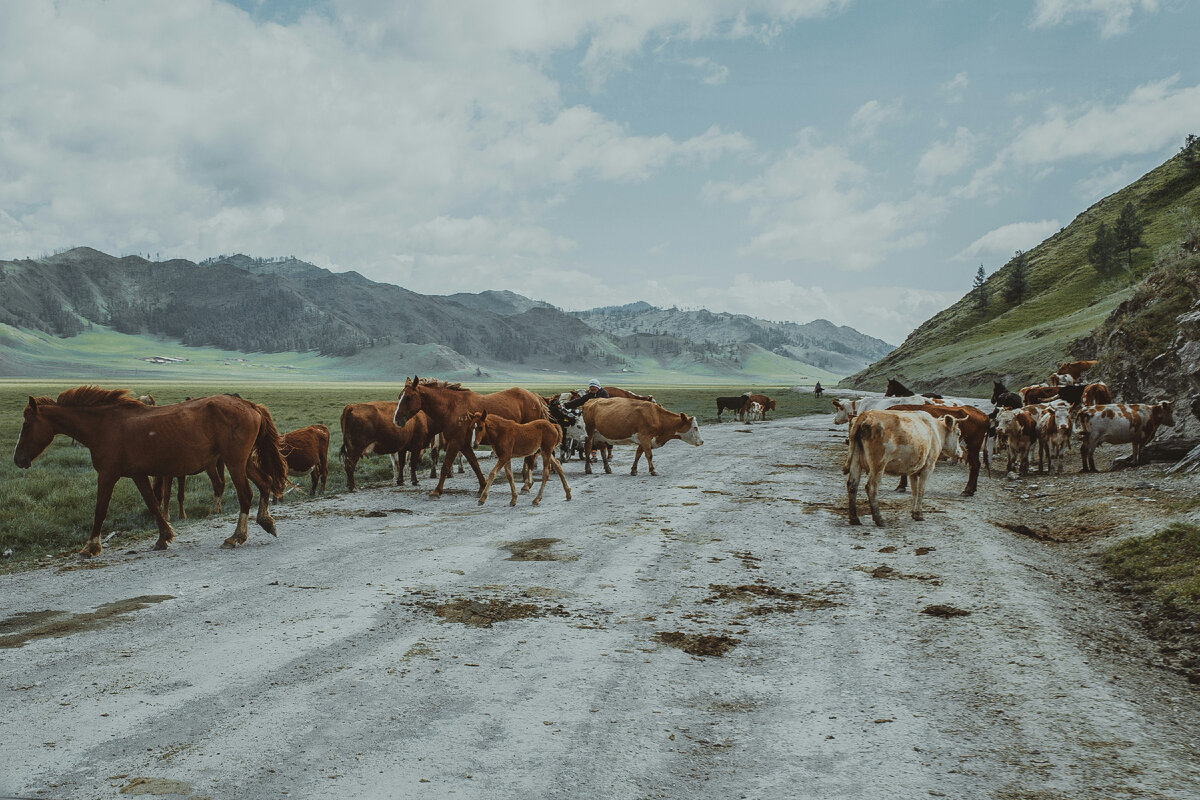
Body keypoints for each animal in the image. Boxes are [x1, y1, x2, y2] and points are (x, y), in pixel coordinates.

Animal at [13, 388, 288, 556]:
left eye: (26, 425)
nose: (18, 460)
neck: (104, 426)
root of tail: (248, 404)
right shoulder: (139, 474)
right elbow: (153, 504)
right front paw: (163, 537)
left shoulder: (108, 475)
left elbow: (100, 509)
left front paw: (90, 547)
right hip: (243, 462)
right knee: (265, 483)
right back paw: (266, 522)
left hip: (234, 462)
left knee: (246, 495)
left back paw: (236, 537)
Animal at [393, 376, 549, 501]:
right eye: (399, 396)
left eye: (408, 397)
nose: (397, 420)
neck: (451, 407)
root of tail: (535, 396)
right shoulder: (464, 444)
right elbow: (474, 464)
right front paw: (483, 487)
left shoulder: (455, 442)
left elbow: (445, 466)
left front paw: (436, 491)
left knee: (529, 458)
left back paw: (526, 486)